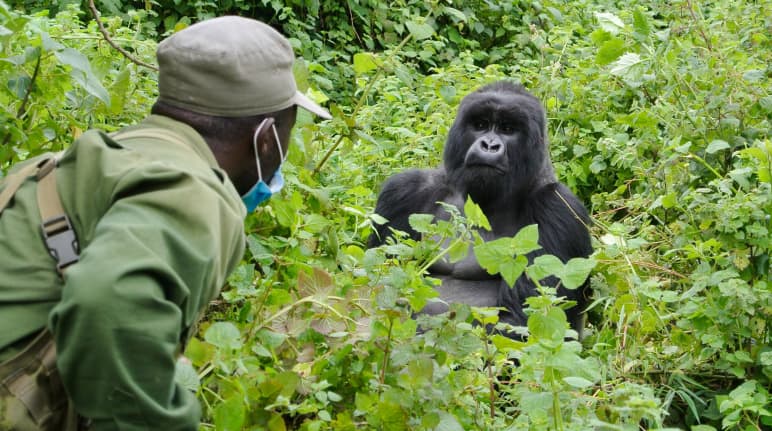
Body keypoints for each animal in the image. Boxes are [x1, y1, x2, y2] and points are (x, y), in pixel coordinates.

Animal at [370, 80, 596, 338]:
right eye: (480, 125)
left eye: (508, 129)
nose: (489, 145)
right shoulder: (403, 192)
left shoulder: (559, 209)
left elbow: (527, 321)